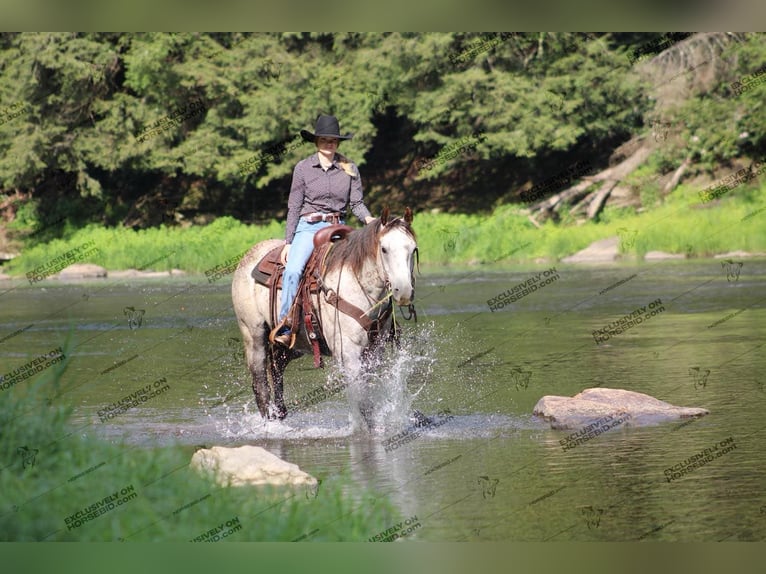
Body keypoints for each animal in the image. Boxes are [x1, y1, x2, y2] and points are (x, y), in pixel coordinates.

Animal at [231, 210, 416, 428]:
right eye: (384, 249)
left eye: (413, 248)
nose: (403, 291)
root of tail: (249, 256)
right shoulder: (348, 352)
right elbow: (362, 401)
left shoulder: (374, 350)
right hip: (253, 335)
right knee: (260, 384)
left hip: (289, 346)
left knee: (276, 373)